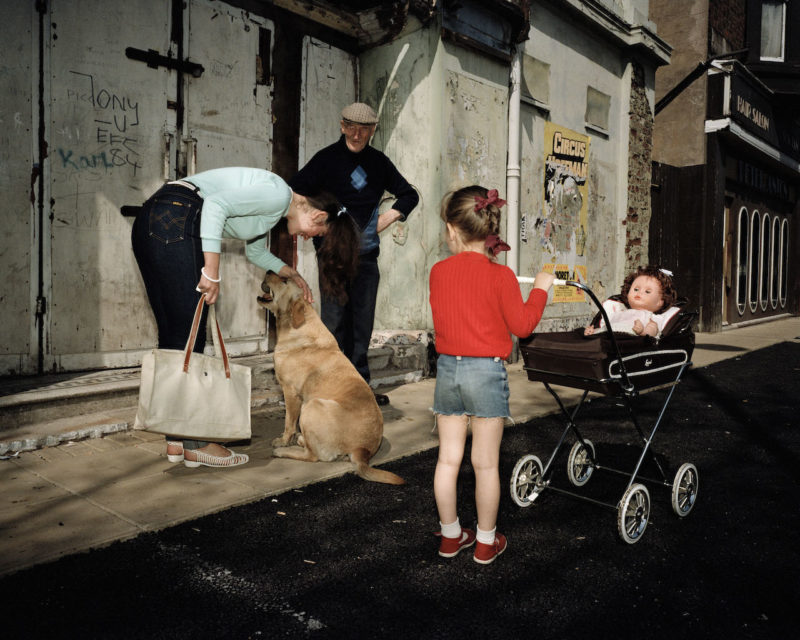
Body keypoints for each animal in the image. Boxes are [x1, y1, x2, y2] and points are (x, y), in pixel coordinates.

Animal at [260, 272, 404, 484]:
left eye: (284, 280)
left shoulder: (291, 392)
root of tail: (361, 451)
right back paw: (301, 439)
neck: (297, 324)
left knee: (312, 456)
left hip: (311, 405)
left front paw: (283, 441)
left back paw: (284, 450)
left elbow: (288, 423)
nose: (269, 269)